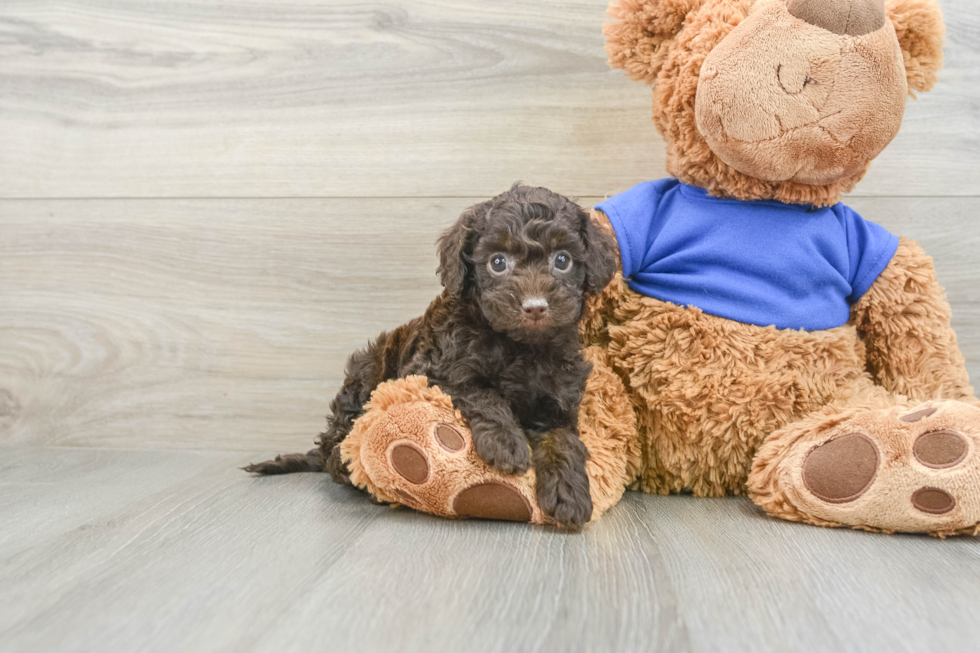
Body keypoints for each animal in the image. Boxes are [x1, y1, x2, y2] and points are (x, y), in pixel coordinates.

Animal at [245, 182, 612, 524]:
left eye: (562, 260)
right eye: (498, 262)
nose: (535, 307)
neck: (520, 345)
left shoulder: (559, 400)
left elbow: (562, 438)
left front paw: (568, 493)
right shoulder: (432, 371)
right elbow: (482, 392)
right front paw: (507, 444)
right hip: (367, 372)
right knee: (338, 448)